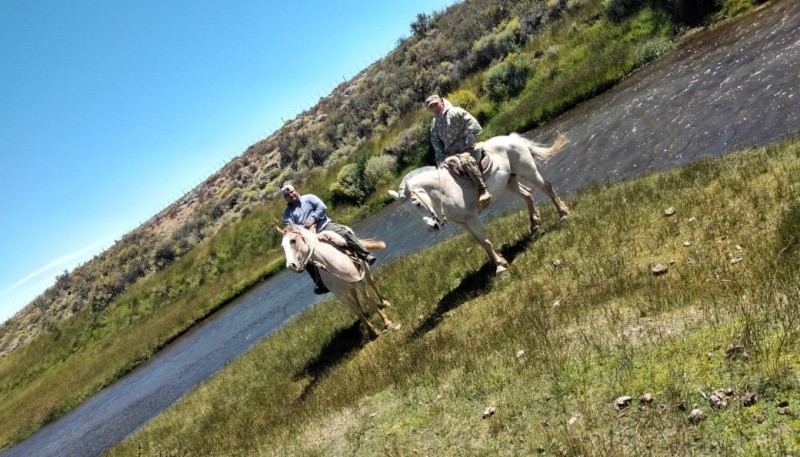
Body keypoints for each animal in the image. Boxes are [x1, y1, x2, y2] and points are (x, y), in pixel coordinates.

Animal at [388, 133, 568, 274]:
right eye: (409, 212)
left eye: (417, 203)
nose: (433, 227)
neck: (446, 189)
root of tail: (511, 138)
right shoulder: (464, 224)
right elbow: (480, 243)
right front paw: (499, 260)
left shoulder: (472, 218)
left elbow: (485, 241)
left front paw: (500, 267)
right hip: (510, 181)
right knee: (528, 195)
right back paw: (534, 227)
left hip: (528, 171)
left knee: (547, 187)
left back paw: (563, 215)